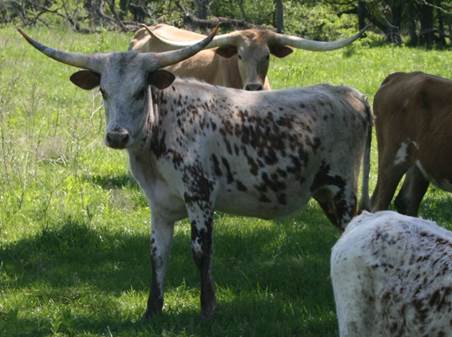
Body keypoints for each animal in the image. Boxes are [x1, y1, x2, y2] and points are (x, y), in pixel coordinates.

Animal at [18, 28, 370, 318]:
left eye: (140, 90)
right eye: (103, 90)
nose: (117, 136)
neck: (161, 128)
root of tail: (350, 94)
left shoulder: (199, 197)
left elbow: (201, 252)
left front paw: (207, 308)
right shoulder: (158, 206)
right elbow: (157, 255)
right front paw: (152, 311)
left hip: (341, 189)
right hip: (325, 192)